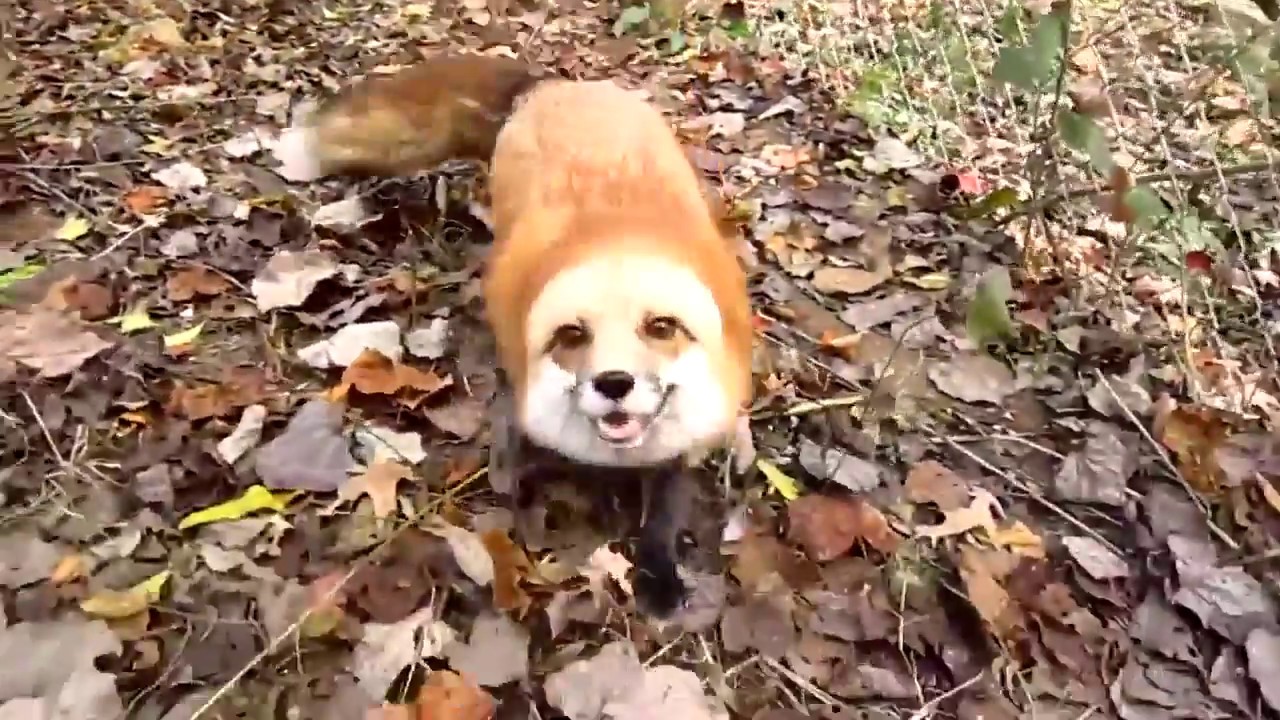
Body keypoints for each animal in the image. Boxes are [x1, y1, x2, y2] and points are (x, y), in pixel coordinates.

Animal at [277, 53, 755, 617]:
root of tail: (553, 87)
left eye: (661, 327)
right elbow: (515, 460)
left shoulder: (679, 448)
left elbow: (663, 515)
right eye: (572, 335)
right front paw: (518, 514)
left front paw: (658, 574)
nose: (614, 383)